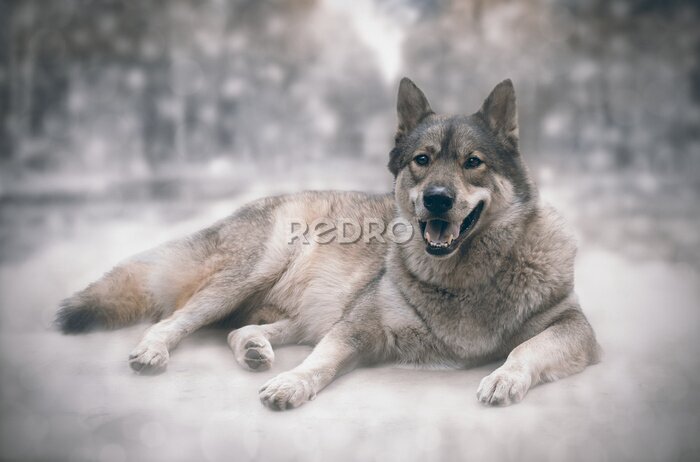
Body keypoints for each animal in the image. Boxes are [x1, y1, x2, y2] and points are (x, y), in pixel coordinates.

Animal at [57, 78, 600, 409]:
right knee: (175, 320)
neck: (463, 278)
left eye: (473, 163)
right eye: (422, 160)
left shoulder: (575, 329)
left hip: (307, 309)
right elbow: (321, 362)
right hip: (249, 276)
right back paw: (156, 351)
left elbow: (526, 348)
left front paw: (505, 377)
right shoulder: (358, 327)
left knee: (242, 330)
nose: (437, 200)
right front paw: (293, 383)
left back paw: (253, 348)